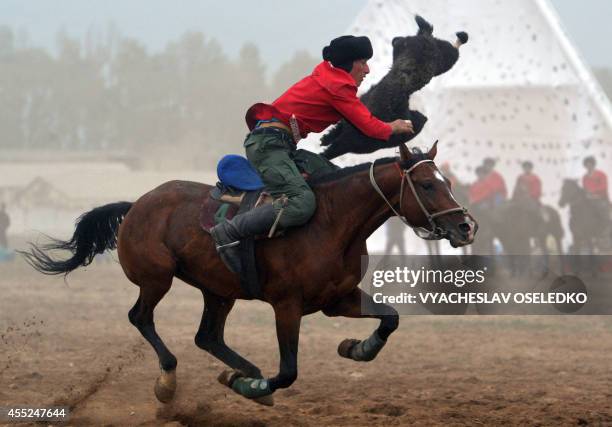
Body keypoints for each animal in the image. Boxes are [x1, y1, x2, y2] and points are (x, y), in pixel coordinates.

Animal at [21, 142, 476, 406]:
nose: (465, 227)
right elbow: (289, 371)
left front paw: (357, 348)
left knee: (207, 336)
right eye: (428, 185)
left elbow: (390, 318)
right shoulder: (287, 306)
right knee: (141, 317)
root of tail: (136, 204)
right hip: (157, 278)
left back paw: (243, 370)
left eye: (448, 181)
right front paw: (253, 388)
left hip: (218, 291)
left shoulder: (338, 299)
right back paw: (172, 379)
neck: (329, 223)